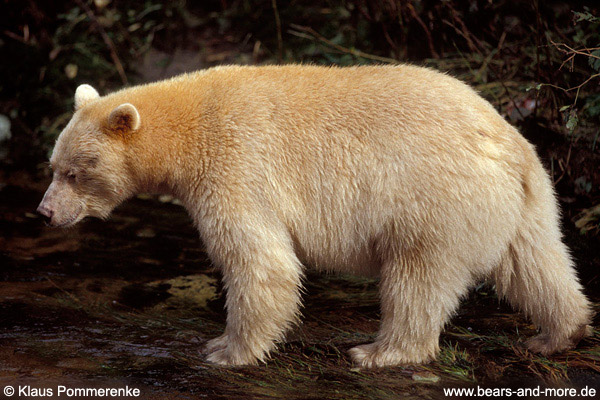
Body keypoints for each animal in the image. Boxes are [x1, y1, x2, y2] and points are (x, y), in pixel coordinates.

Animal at [36, 65, 592, 368]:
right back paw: (558, 333)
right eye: (52, 165)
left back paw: (380, 351)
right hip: (522, 203)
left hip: (434, 201)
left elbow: (262, 262)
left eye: (74, 173)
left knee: (418, 278)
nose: (44, 211)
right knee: (536, 264)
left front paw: (226, 349)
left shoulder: (236, 164)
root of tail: (508, 144)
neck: (187, 129)